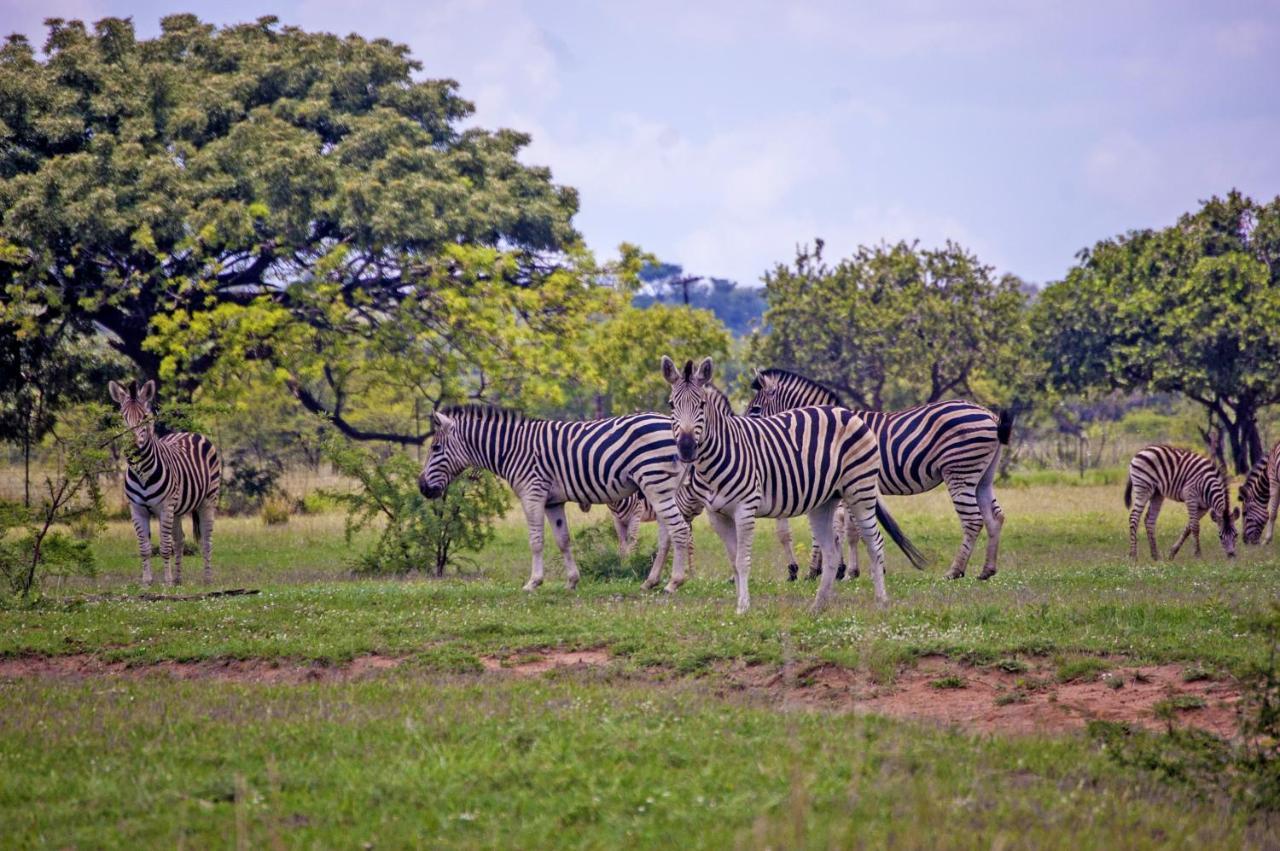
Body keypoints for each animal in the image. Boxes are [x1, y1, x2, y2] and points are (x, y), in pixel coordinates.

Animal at [109, 378, 222, 583]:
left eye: (145, 417)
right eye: (123, 417)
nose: (133, 449)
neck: (142, 473)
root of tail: (190, 433)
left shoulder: (165, 507)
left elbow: (164, 546)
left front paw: (166, 581)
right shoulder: (137, 509)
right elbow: (144, 548)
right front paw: (147, 581)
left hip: (208, 500)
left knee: (206, 540)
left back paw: (207, 578)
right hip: (176, 510)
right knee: (180, 539)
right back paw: (178, 580)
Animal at [422, 404, 696, 591]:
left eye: (435, 448)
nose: (422, 487)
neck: (511, 449)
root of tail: (671, 423)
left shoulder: (532, 493)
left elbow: (536, 541)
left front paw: (533, 582)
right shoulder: (553, 501)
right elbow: (563, 539)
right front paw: (572, 581)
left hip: (654, 482)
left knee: (680, 530)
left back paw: (673, 583)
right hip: (662, 488)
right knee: (667, 535)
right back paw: (651, 582)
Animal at [665, 355, 926, 614]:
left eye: (702, 405)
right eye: (671, 405)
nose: (686, 448)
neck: (718, 456)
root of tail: (847, 412)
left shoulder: (745, 509)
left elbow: (742, 560)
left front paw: (743, 607)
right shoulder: (717, 515)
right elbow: (733, 561)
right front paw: (740, 602)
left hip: (859, 491)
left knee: (874, 542)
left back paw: (881, 602)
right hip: (825, 502)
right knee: (831, 551)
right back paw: (818, 606)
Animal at [747, 368, 1008, 580]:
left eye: (755, 409)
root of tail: (989, 414)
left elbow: (841, 530)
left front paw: (827, 571)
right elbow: (846, 530)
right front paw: (842, 570)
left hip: (959, 471)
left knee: (973, 520)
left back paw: (955, 571)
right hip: (982, 477)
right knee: (995, 517)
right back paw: (987, 571)